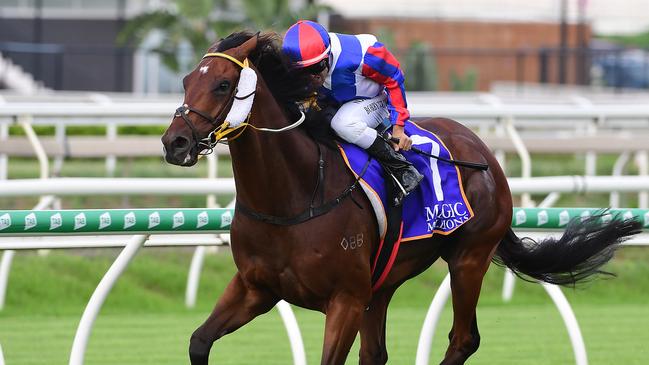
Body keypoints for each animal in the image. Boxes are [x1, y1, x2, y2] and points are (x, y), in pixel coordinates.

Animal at [161, 32, 636, 364]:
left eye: (223, 85)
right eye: (185, 80)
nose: (174, 142)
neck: (293, 196)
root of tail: (483, 151)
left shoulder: (345, 300)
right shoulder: (255, 288)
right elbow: (199, 342)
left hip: (469, 258)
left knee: (464, 339)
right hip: (384, 282)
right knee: (377, 353)